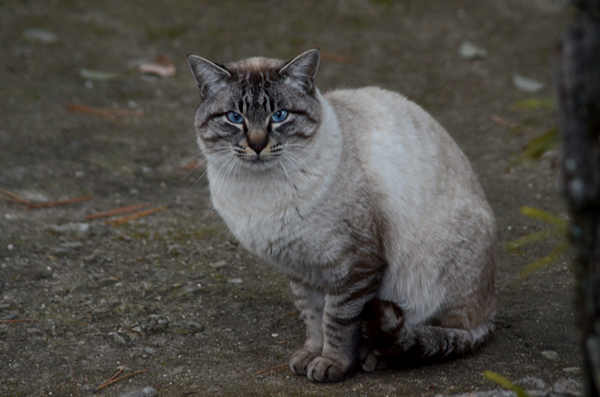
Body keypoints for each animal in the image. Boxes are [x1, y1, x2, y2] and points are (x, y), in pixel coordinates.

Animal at [189, 48, 496, 382]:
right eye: (234, 118)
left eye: (280, 116)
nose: (257, 145)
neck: (260, 195)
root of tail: (490, 313)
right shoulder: (301, 268)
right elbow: (313, 318)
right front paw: (311, 355)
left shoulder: (353, 266)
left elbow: (336, 320)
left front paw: (331, 364)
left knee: (431, 333)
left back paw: (375, 355)